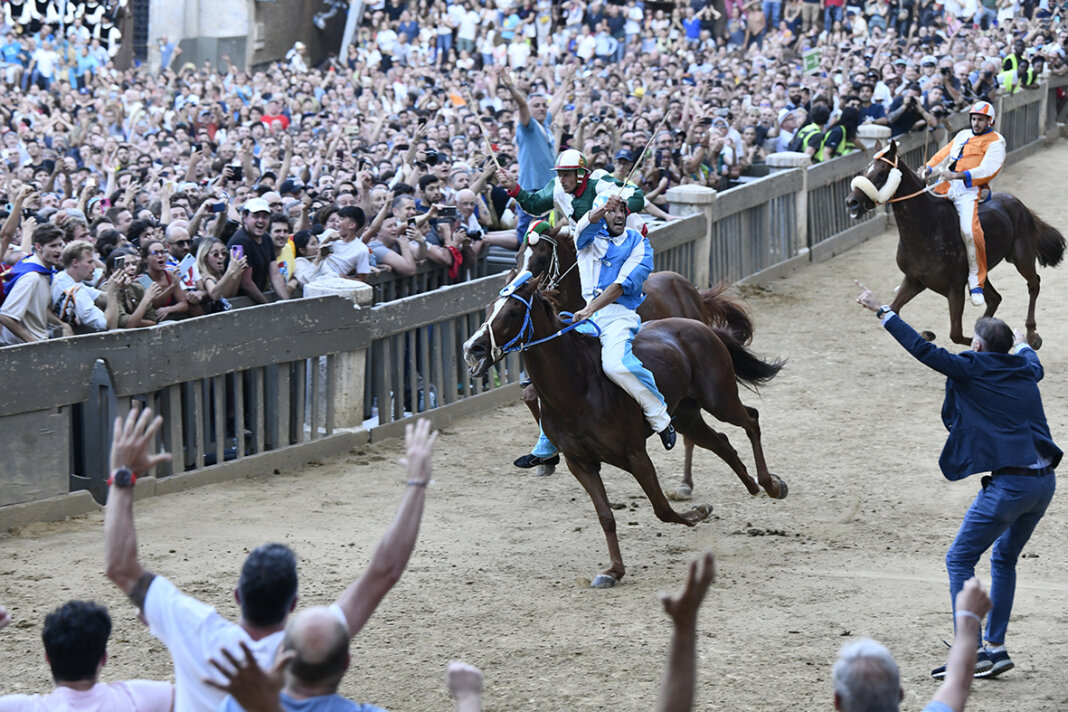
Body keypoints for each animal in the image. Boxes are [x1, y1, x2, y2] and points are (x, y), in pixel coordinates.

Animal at [463, 270, 790, 589]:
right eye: (489, 308)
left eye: (514, 310)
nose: (473, 347)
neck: (577, 387)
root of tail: (700, 326)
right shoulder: (580, 463)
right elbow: (606, 516)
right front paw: (613, 571)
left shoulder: (635, 454)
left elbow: (662, 509)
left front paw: (698, 512)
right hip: (687, 415)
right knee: (720, 442)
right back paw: (752, 485)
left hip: (719, 399)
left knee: (751, 419)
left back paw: (771, 484)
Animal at [510, 227, 751, 495]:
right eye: (517, 257)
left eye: (541, 259)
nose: (519, 287)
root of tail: (691, 290)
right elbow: (531, 395)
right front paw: (545, 458)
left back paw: (685, 483)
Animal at [845, 139, 1063, 347]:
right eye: (865, 170)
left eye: (882, 172)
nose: (851, 202)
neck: (927, 229)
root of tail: (1019, 204)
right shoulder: (915, 280)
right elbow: (893, 309)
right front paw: (925, 334)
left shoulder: (955, 288)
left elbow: (955, 334)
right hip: (981, 273)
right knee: (995, 298)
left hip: (1022, 257)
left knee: (1034, 284)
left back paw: (1032, 334)